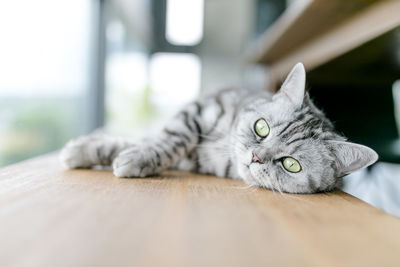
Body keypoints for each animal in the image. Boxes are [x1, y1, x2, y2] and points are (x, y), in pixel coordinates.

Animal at [60, 63, 378, 193]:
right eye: (261, 128)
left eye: (290, 164)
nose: (256, 157)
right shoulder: (199, 110)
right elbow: (167, 139)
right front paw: (83, 150)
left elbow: (155, 144)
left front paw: (133, 159)